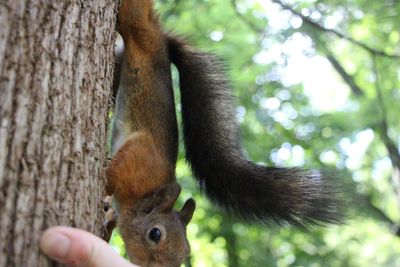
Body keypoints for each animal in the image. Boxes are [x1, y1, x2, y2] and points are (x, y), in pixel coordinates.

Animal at [106, 0, 344, 266]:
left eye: (185, 253)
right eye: (155, 234)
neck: (142, 196)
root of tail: (162, 39)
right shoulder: (140, 158)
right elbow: (115, 171)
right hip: (138, 28)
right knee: (135, 16)